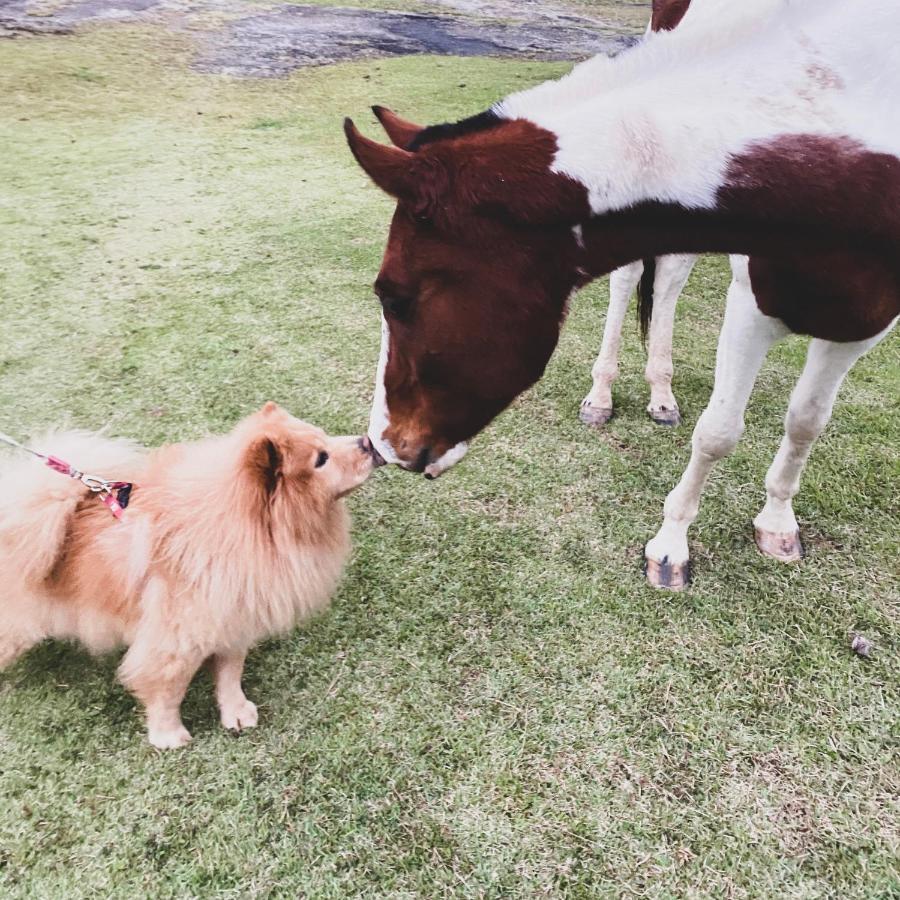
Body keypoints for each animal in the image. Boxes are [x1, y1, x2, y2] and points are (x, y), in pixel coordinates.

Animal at [0, 404, 376, 748]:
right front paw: (168, 736)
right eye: (321, 459)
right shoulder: (175, 641)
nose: (368, 443)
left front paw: (236, 712)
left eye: (324, 437)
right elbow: (167, 690)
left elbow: (230, 674)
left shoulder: (232, 618)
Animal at [346, 0, 900, 592]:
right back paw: (604, 394)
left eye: (395, 299)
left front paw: (776, 523)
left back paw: (661, 393)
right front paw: (672, 544)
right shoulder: (751, 303)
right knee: (639, 273)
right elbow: (719, 431)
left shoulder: (863, 323)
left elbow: (806, 422)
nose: (380, 444)